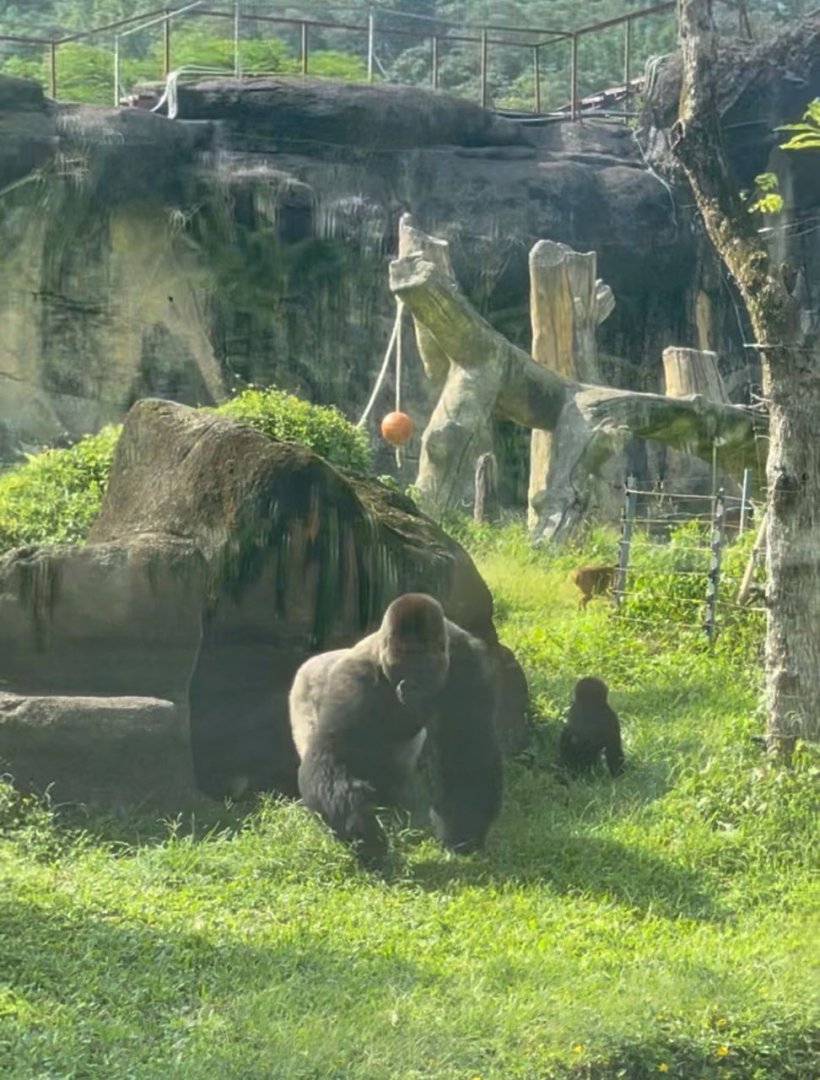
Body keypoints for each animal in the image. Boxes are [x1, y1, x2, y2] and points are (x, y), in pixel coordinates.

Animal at [289, 593, 503, 867]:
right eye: (406, 665)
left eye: (424, 667)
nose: (410, 688)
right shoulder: (352, 680)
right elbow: (333, 755)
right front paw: (364, 832)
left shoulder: (470, 665)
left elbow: (469, 749)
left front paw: (464, 835)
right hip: (304, 690)